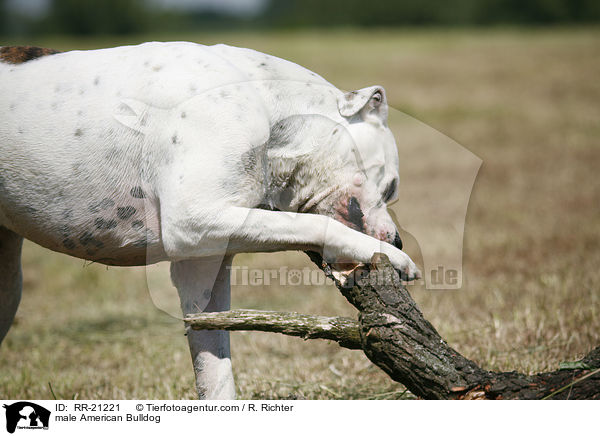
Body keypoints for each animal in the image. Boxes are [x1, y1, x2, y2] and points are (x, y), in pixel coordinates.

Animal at [0, 42, 420, 400]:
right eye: (391, 186)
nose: (398, 240)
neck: (269, 105)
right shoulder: (193, 221)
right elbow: (316, 224)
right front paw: (392, 257)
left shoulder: (203, 266)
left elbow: (215, 371)